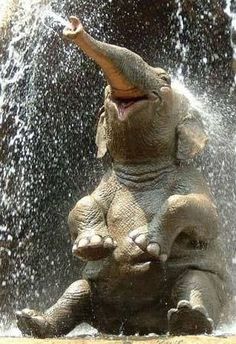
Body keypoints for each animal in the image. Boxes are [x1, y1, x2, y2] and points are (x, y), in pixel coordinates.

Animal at [16, 16, 230, 338]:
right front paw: (92, 245)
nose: (73, 26)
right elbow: (81, 203)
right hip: (93, 292)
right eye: (106, 93)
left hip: (203, 279)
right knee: (75, 291)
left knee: (196, 281)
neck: (142, 166)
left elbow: (206, 214)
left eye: (164, 79)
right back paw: (31, 321)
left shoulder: (191, 177)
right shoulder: (107, 183)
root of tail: (135, 324)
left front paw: (143, 243)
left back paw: (188, 319)